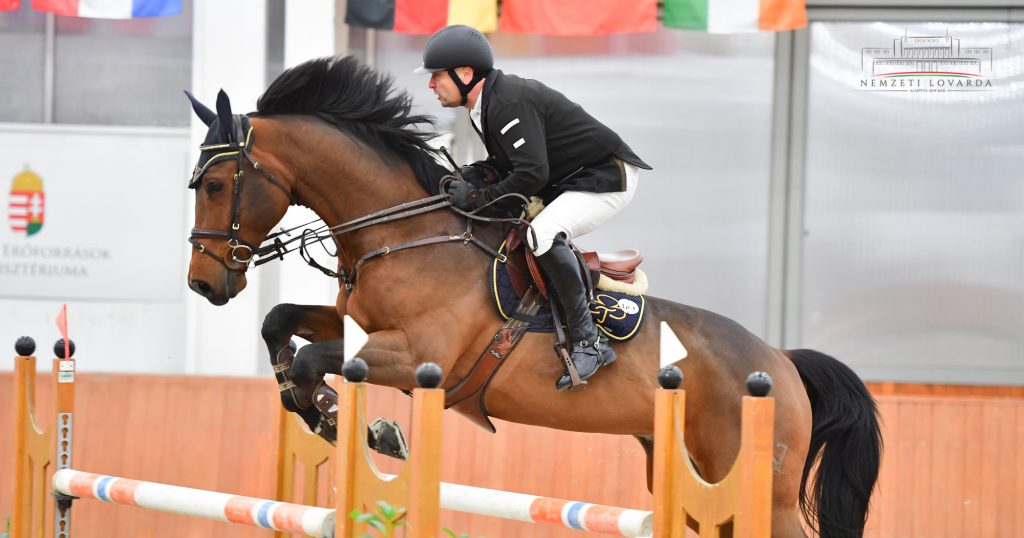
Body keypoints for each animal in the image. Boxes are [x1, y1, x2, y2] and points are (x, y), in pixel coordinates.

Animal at [182, 55, 880, 536]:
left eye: (215, 184)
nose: (204, 283)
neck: (402, 231)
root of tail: (781, 363)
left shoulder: (413, 357)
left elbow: (310, 361)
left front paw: (369, 429)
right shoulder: (353, 323)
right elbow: (281, 326)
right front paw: (326, 414)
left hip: (761, 488)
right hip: (693, 477)